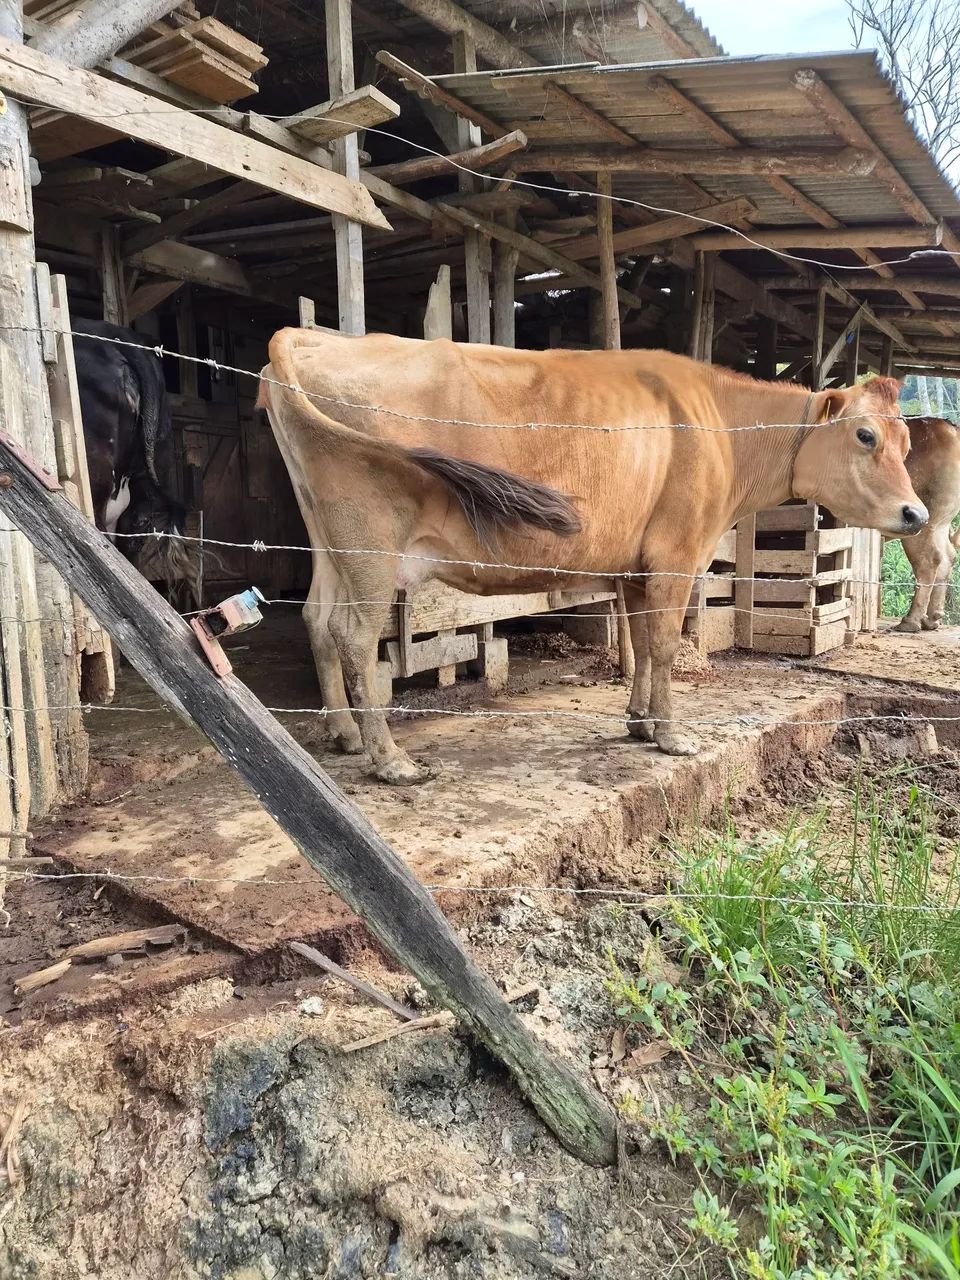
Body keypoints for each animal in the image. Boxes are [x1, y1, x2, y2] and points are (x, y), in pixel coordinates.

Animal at [259, 329, 927, 784]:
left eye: (907, 442)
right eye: (865, 435)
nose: (915, 514)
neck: (724, 426)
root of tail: (311, 338)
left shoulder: (636, 561)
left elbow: (639, 642)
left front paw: (638, 721)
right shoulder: (678, 550)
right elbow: (664, 643)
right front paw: (671, 736)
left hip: (327, 540)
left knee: (316, 618)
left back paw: (345, 734)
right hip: (368, 543)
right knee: (353, 634)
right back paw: (389, 758)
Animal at [890, 415, 960, 633]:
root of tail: (949, 427)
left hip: (921, 524)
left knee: (929, 560)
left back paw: (911, 621)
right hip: (941, 521)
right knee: (947, 556)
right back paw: (932, 618)